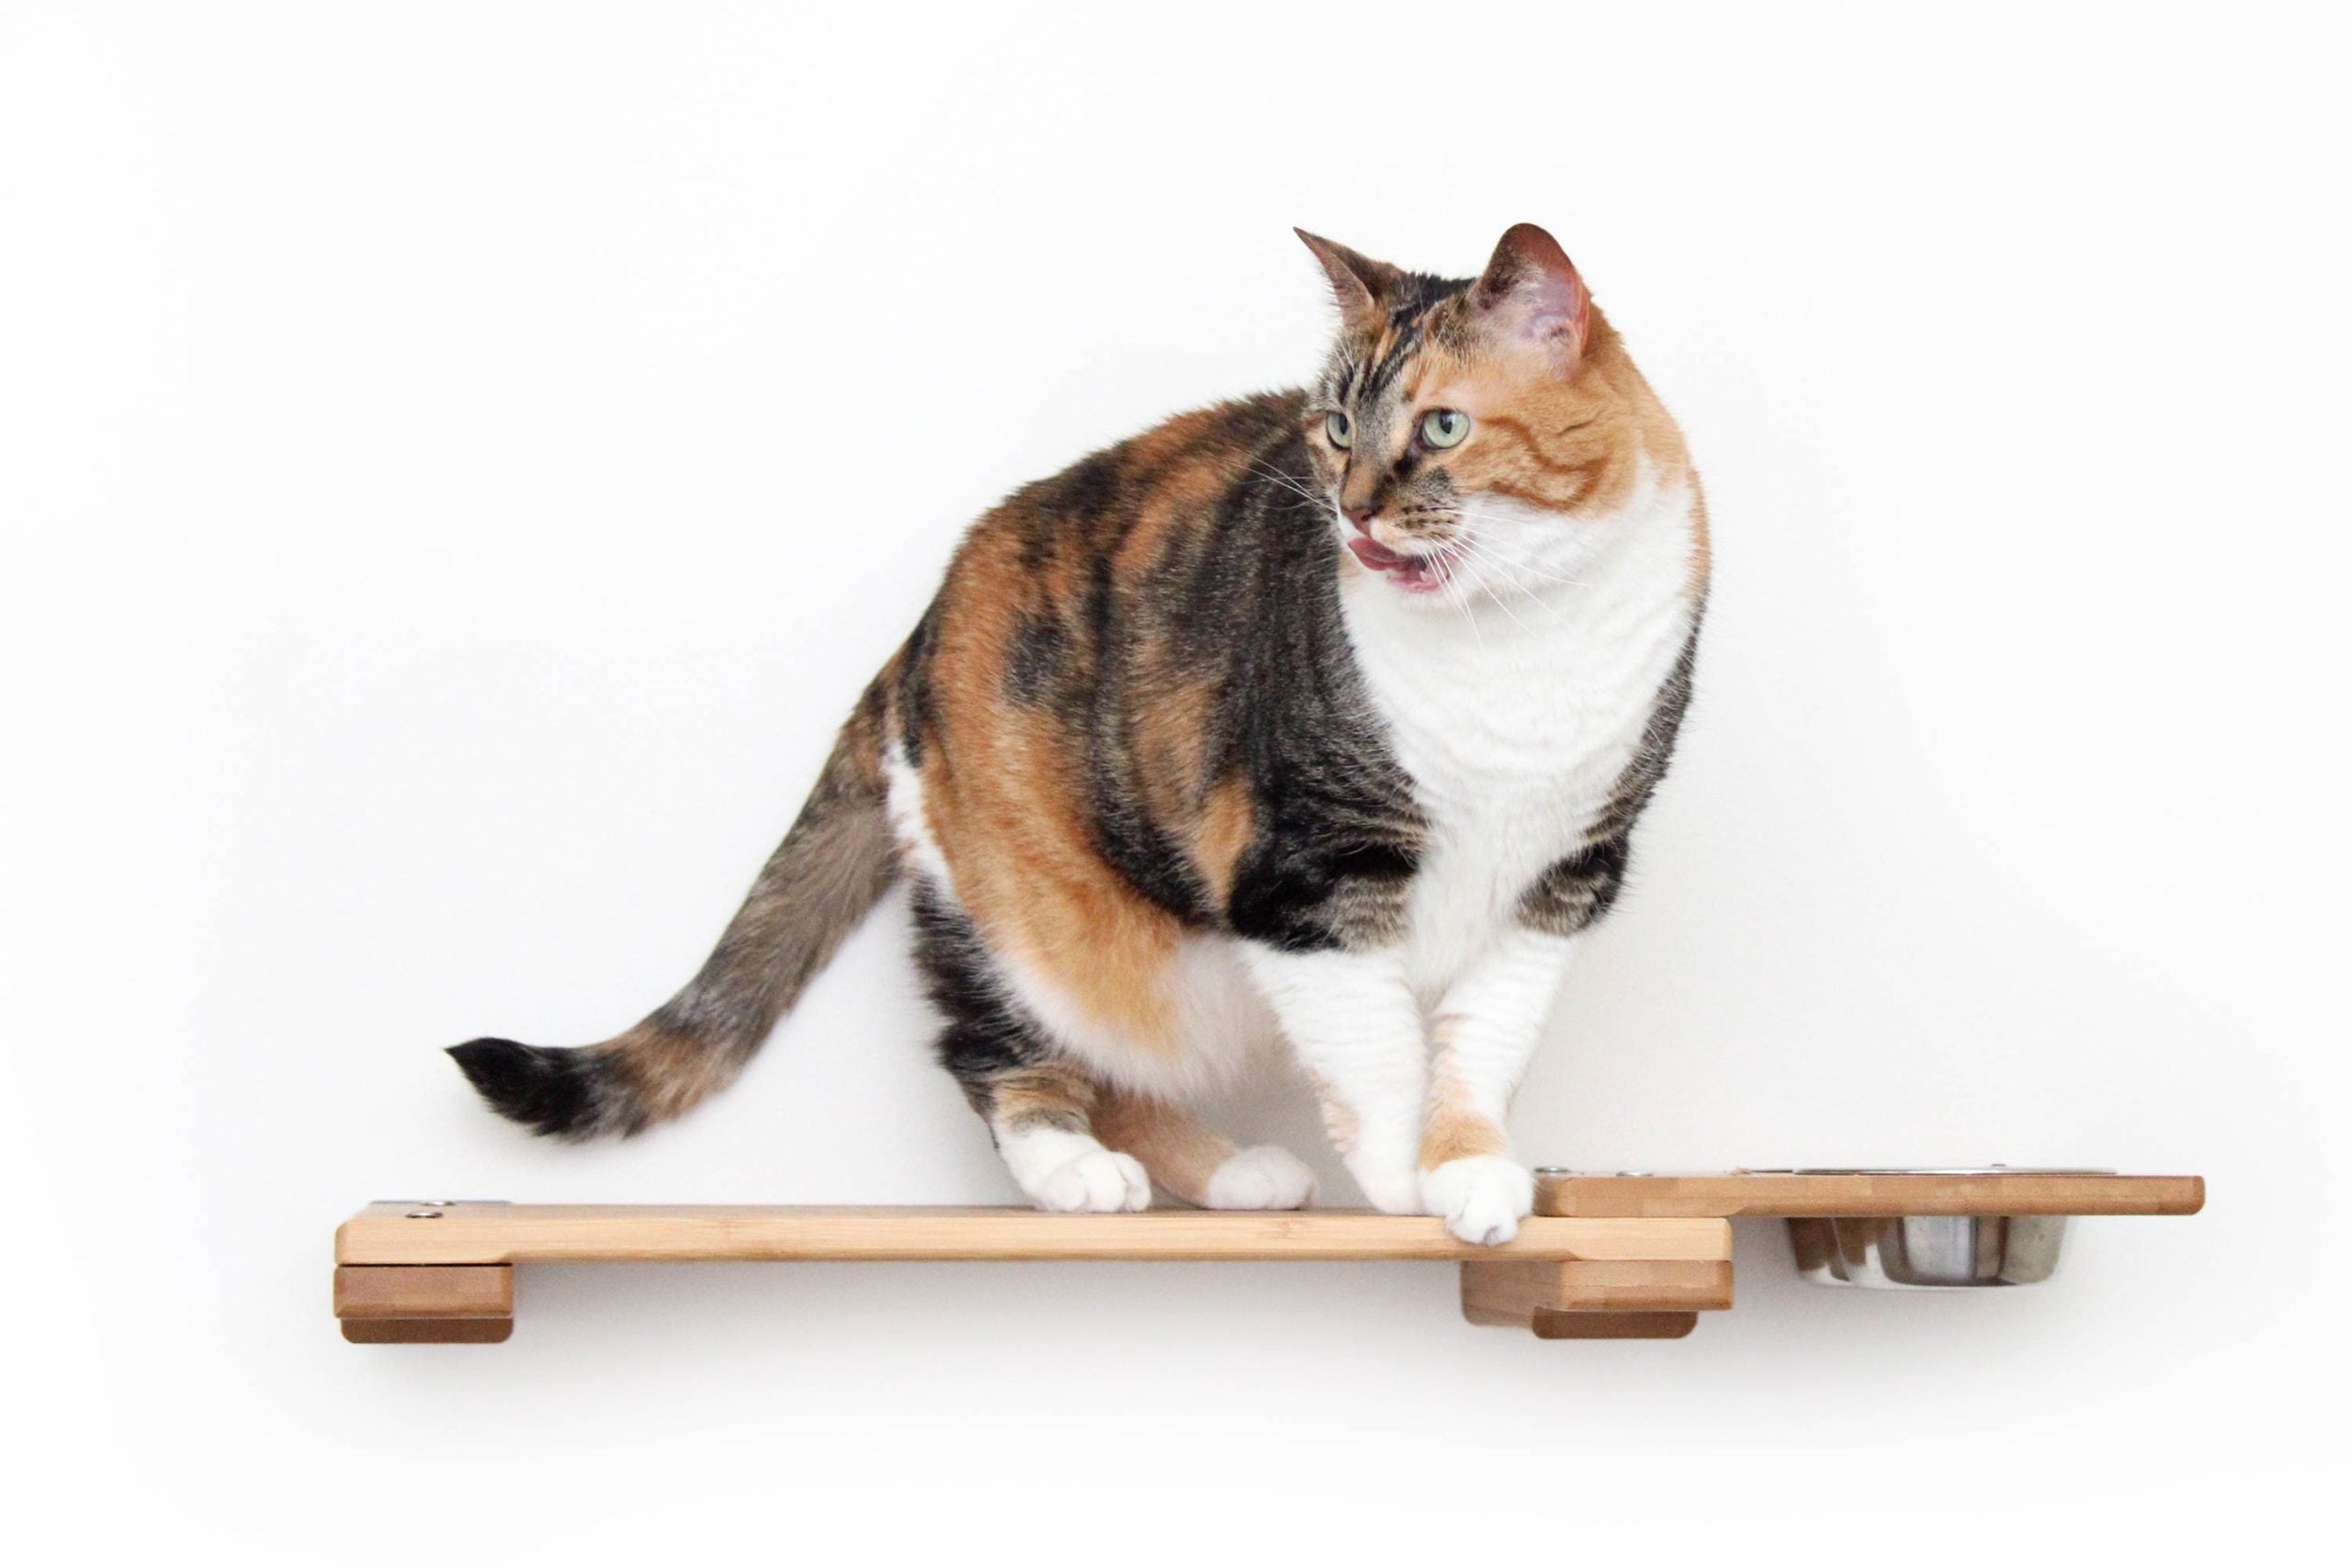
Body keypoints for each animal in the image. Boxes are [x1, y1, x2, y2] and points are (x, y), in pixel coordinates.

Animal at [448, 226, 1712, 1241]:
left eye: (1443, 427)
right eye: (1334, 427)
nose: (1351, 510)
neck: (1513, 639)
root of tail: (923, 626)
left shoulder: (1562, 881)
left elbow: (1481, 1048)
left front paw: (1476, 1174)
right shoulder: (1306, 880)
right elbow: (1378, 1053)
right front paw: (1404, 1182)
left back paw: (1232, 1174)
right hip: (1016, 905)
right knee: (996, 1041)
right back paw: (1073, 1170)